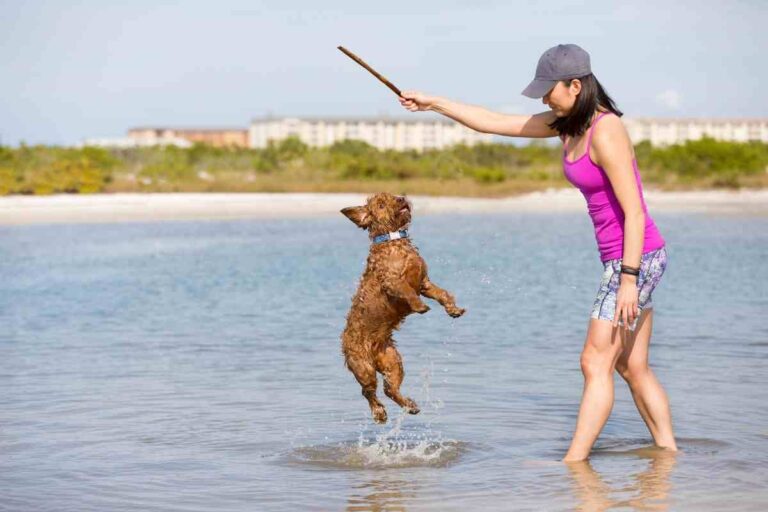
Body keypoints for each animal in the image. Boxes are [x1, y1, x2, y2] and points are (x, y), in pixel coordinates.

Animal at [342, 193, 468, 424]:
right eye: (381, 204)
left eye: (393, 196)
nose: (401, 198)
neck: (394, 240)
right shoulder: (394, 283)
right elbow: (408, 292)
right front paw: (420, 306)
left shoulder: (425, 283)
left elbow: (443, 294)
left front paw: (453, 309)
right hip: (364, 367)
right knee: (368, 391)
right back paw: (379, 413)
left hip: (393, 362)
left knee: (389, 389)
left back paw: (410, 406)